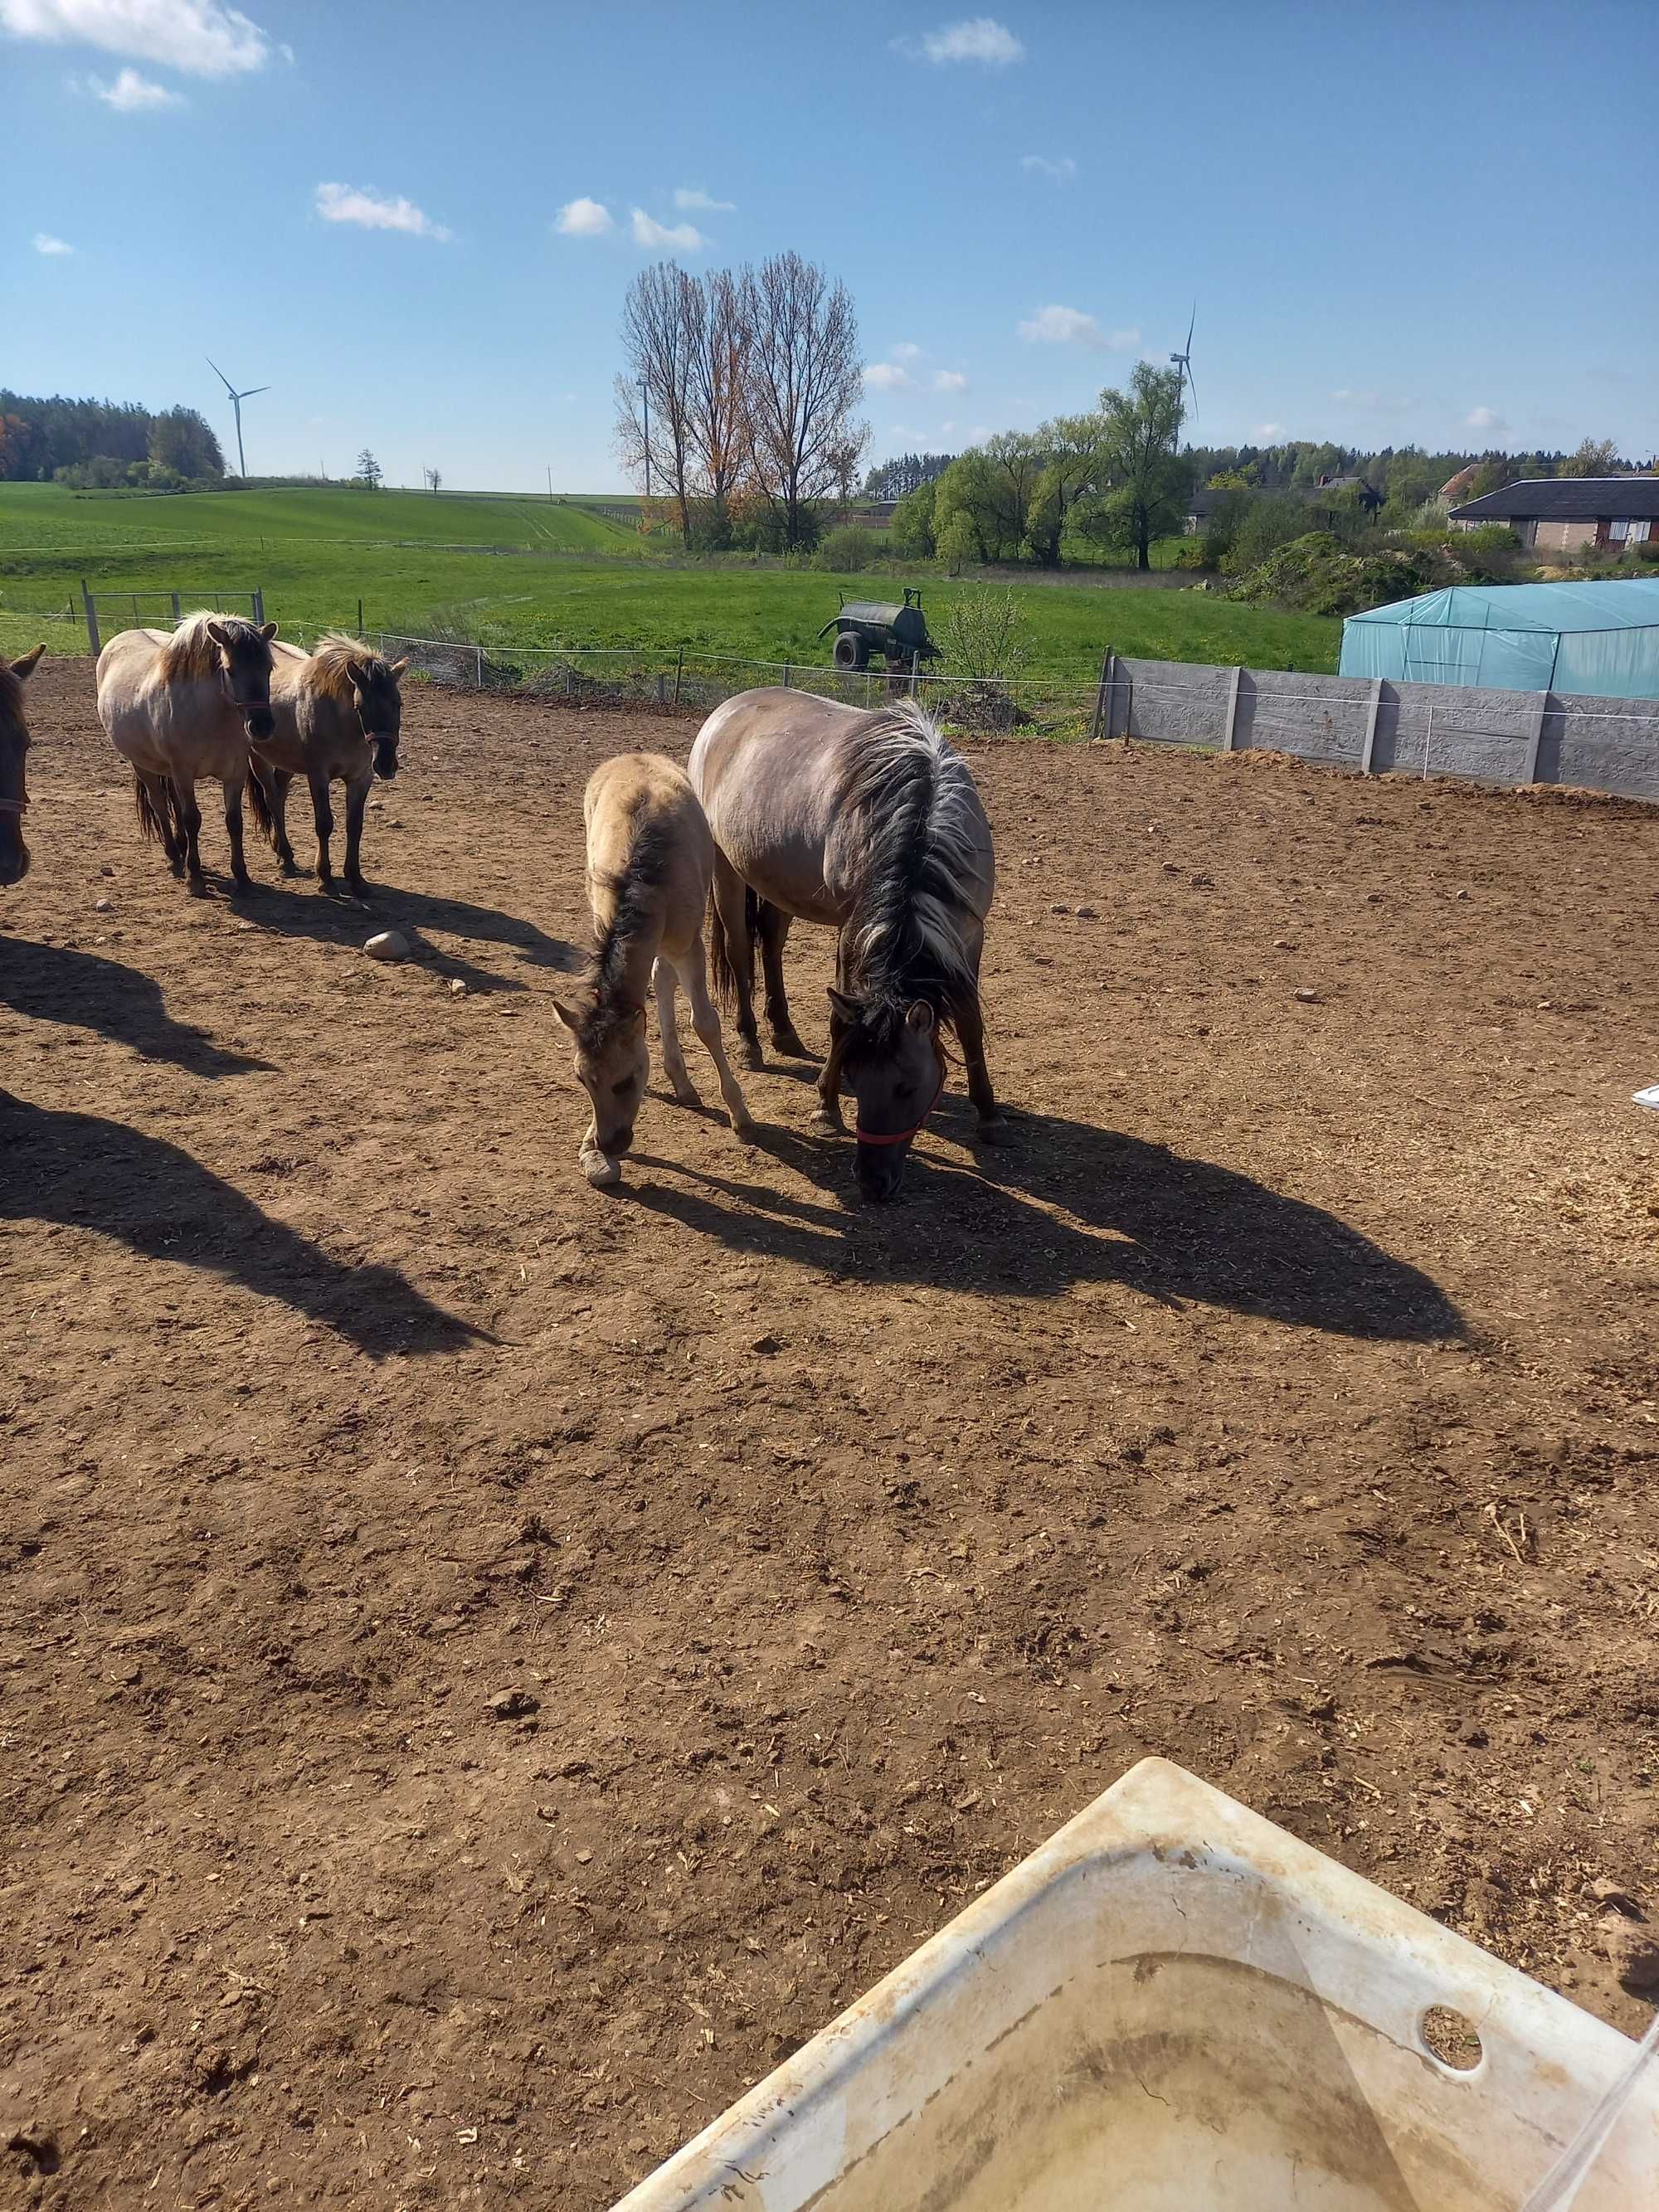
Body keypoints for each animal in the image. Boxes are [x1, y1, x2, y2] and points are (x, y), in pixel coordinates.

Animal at [96, 610, 280, 893]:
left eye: (268, 669)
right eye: (230, 670)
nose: (262, 727)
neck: (210, 715)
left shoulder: (235, 773)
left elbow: (234, 822)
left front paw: (242, 876)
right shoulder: (184, 772)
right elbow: (192, 818)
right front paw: (195, 878)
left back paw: (181, 847)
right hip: (143, 765)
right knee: (160, 804)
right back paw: (174, 855)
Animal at [250, 637, 413, 893]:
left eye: (399, 704)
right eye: (359, 707)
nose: (386, 765)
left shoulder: (361, 779)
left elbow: (354, 826)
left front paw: (356, 879)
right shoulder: (318, 776)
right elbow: (324, 824)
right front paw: (325, 878)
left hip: (286, 764)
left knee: (280, 797)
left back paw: (283, 853)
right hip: (258, 758)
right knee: (272, 799)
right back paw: (285, 859)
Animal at [555, 751, 757, 1185]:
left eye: (628, 1079)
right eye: (582, 1079)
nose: (611, 1143)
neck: (646, 878)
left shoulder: (689, 946)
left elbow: (705, 1023)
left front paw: (741, 1115)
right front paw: (589, 1146)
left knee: (663, 979)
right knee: (659, 979)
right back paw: (680, 1082)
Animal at [690, 694, 1000, 1203]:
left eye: (906, 1087)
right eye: (855, 1076)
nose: (871, 1183)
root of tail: (726, 711)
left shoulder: (969, 937)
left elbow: (971, 1022)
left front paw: (989, 1115)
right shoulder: (853, 929)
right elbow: (840, 1022)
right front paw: (826, 1106)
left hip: (779, 885)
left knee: (770, 944)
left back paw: (784, 1031)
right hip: (726, 870)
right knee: (739, 953)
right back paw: (750, 1040)